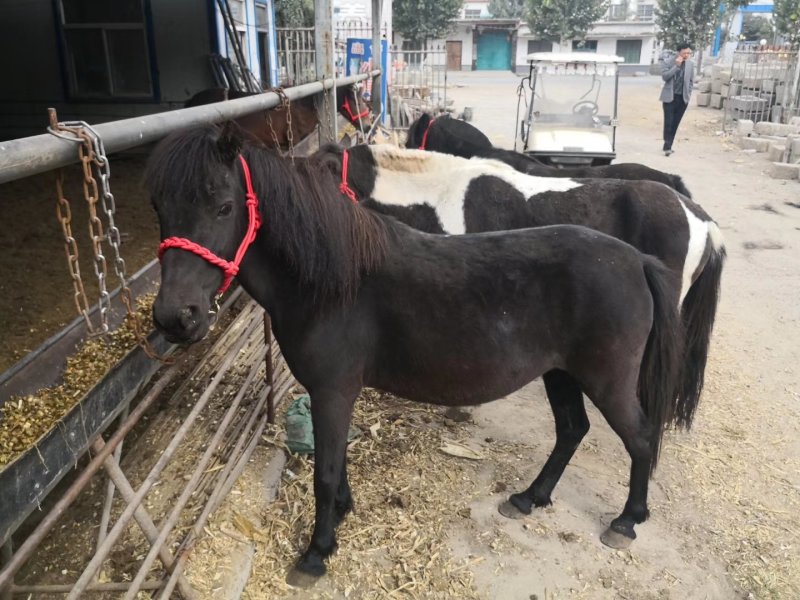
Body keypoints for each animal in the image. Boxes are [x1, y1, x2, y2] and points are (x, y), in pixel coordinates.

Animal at [147, 123, 683, 585]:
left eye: (223, 207)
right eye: (159, 209)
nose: (176, 317)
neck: (333, 283)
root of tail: (636, 260)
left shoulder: (332, 390)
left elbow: (325, 471)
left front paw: (317, 552)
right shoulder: (332, 394)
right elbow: (336, 461)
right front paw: (342, 514)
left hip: (607, 381)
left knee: (640, 437)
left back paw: (627, 521)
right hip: (561, 374)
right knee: (573, 429)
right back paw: (530, 498)